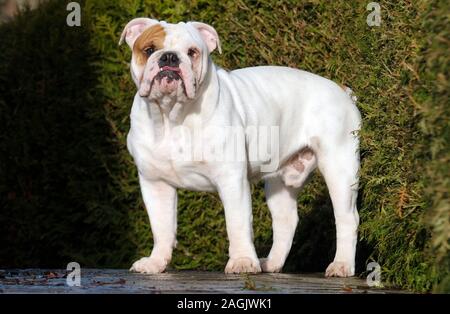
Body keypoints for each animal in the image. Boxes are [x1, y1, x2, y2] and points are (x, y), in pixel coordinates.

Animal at [119, 17, 362, 278]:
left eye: (192, 52)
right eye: (149, 50)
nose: (170, 58)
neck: (171, 116)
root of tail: (342, 90)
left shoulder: (231, 179)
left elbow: (237, 222)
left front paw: (243, 261)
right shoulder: (156, 184)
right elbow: (162, 227)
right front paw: (156, 262)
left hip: (339, 168)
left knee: (347, 218)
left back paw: (342, 265)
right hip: (278, 182)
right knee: (286, 221)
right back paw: (272, 264)